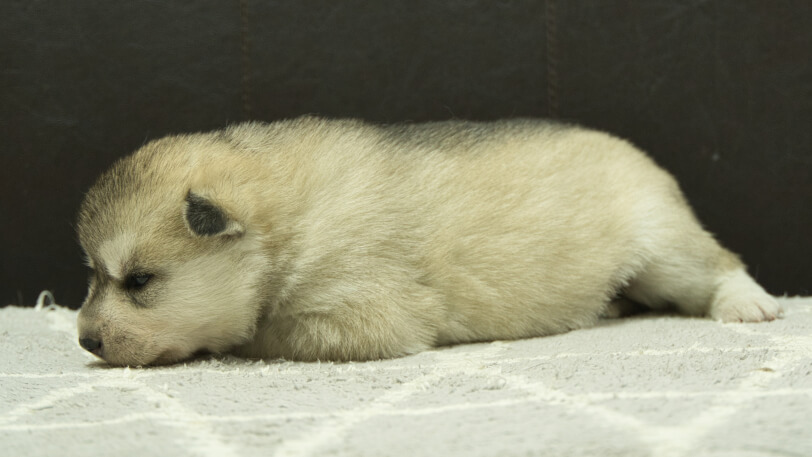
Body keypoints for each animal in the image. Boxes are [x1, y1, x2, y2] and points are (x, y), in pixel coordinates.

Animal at [76, 116, 780, 366]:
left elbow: (262, 334)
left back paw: (749, 303)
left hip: (665, 245)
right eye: (91, 274)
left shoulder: (362, 313)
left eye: (139, 281)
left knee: (718, 264)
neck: (289, 227)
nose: (84, 340)